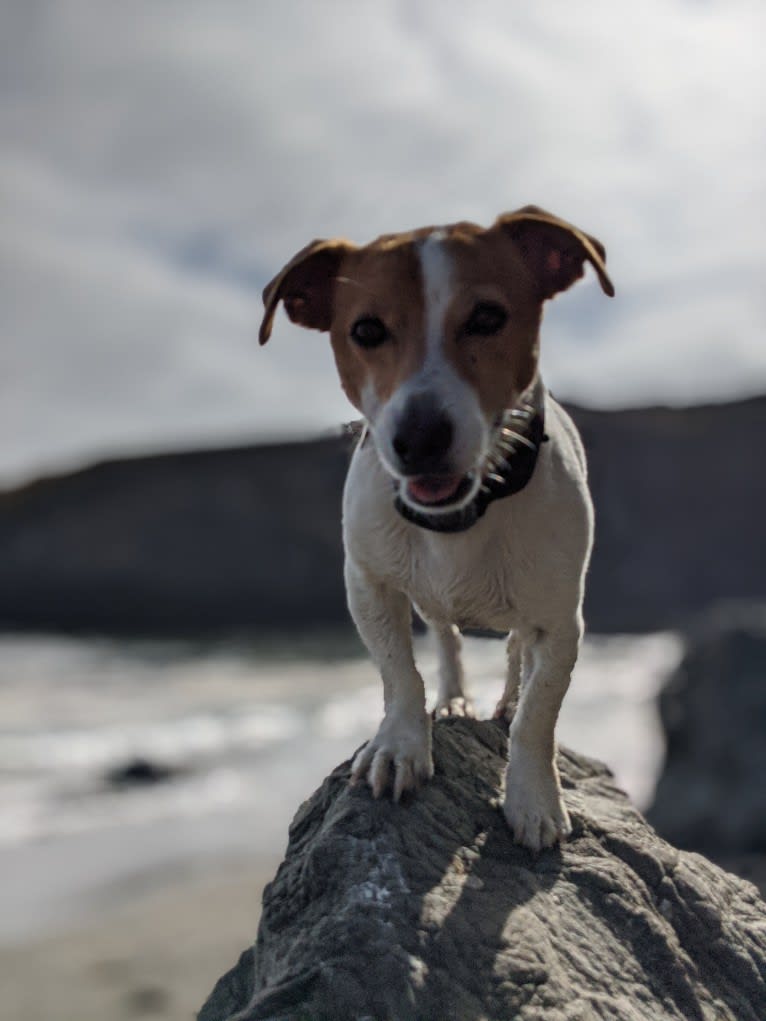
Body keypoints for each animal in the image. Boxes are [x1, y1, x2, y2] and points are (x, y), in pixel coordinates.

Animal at [261, 203, 616, 849]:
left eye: (487, 317)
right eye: (366, 331)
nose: (419, 439)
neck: (461, 515)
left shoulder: (561, 621)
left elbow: (539, 714)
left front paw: (532, 798)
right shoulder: (369, 583)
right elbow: (400, 674)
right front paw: (401, 747)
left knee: (516, 656)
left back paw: (504, 700)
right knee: (448, 639)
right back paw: (454, 700)